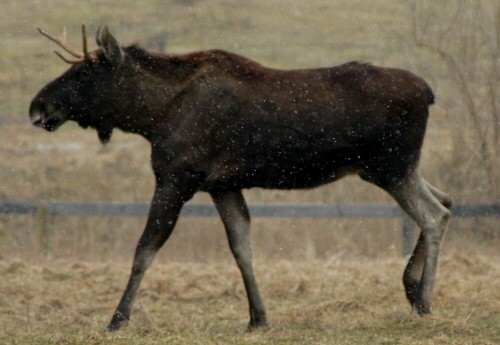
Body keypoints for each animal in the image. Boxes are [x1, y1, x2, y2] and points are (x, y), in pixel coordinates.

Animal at [30, 25, 454, 330]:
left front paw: (117, 319)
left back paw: (425, 299)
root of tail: (430, 93)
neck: (151, 116)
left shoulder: (177, 177)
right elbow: (241, 248)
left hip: (392, 167)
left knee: (434, 215)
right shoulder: (223, 184)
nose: (37, 106)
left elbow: (144, 249)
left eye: (84, 72)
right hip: (391, 168)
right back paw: (412, 288)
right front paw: (258, 318)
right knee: (447, 201)